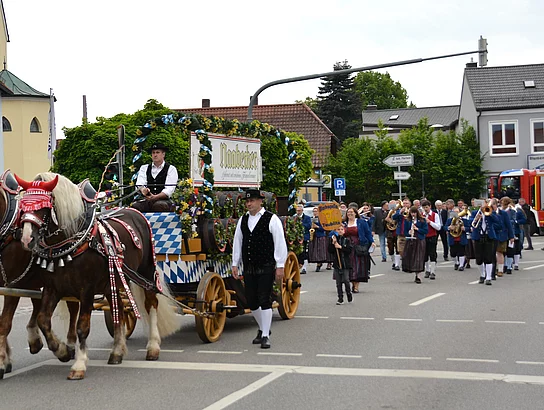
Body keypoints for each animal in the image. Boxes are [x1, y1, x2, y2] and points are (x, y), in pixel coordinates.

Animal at [0, 169, 79, 379]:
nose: (28, 239)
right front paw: (5, 360)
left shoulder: (13, 285)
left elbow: (5, 323)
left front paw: (2, 362)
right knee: (38, 306)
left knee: (73, 307)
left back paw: (69, 345)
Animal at [16, 172, 180, 380]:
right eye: (23, 206)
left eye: (43, 207)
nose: (26, 239)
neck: (71, 242)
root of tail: (135, 211)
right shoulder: (52, 288)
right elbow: (43, 320)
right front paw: (62, 351)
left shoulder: (86, 290)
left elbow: (82, 326)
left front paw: (79, 364)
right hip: (114, 280)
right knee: (119, 309)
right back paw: (117, 351)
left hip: (146, 273)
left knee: (151, 304)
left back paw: (152, 347)